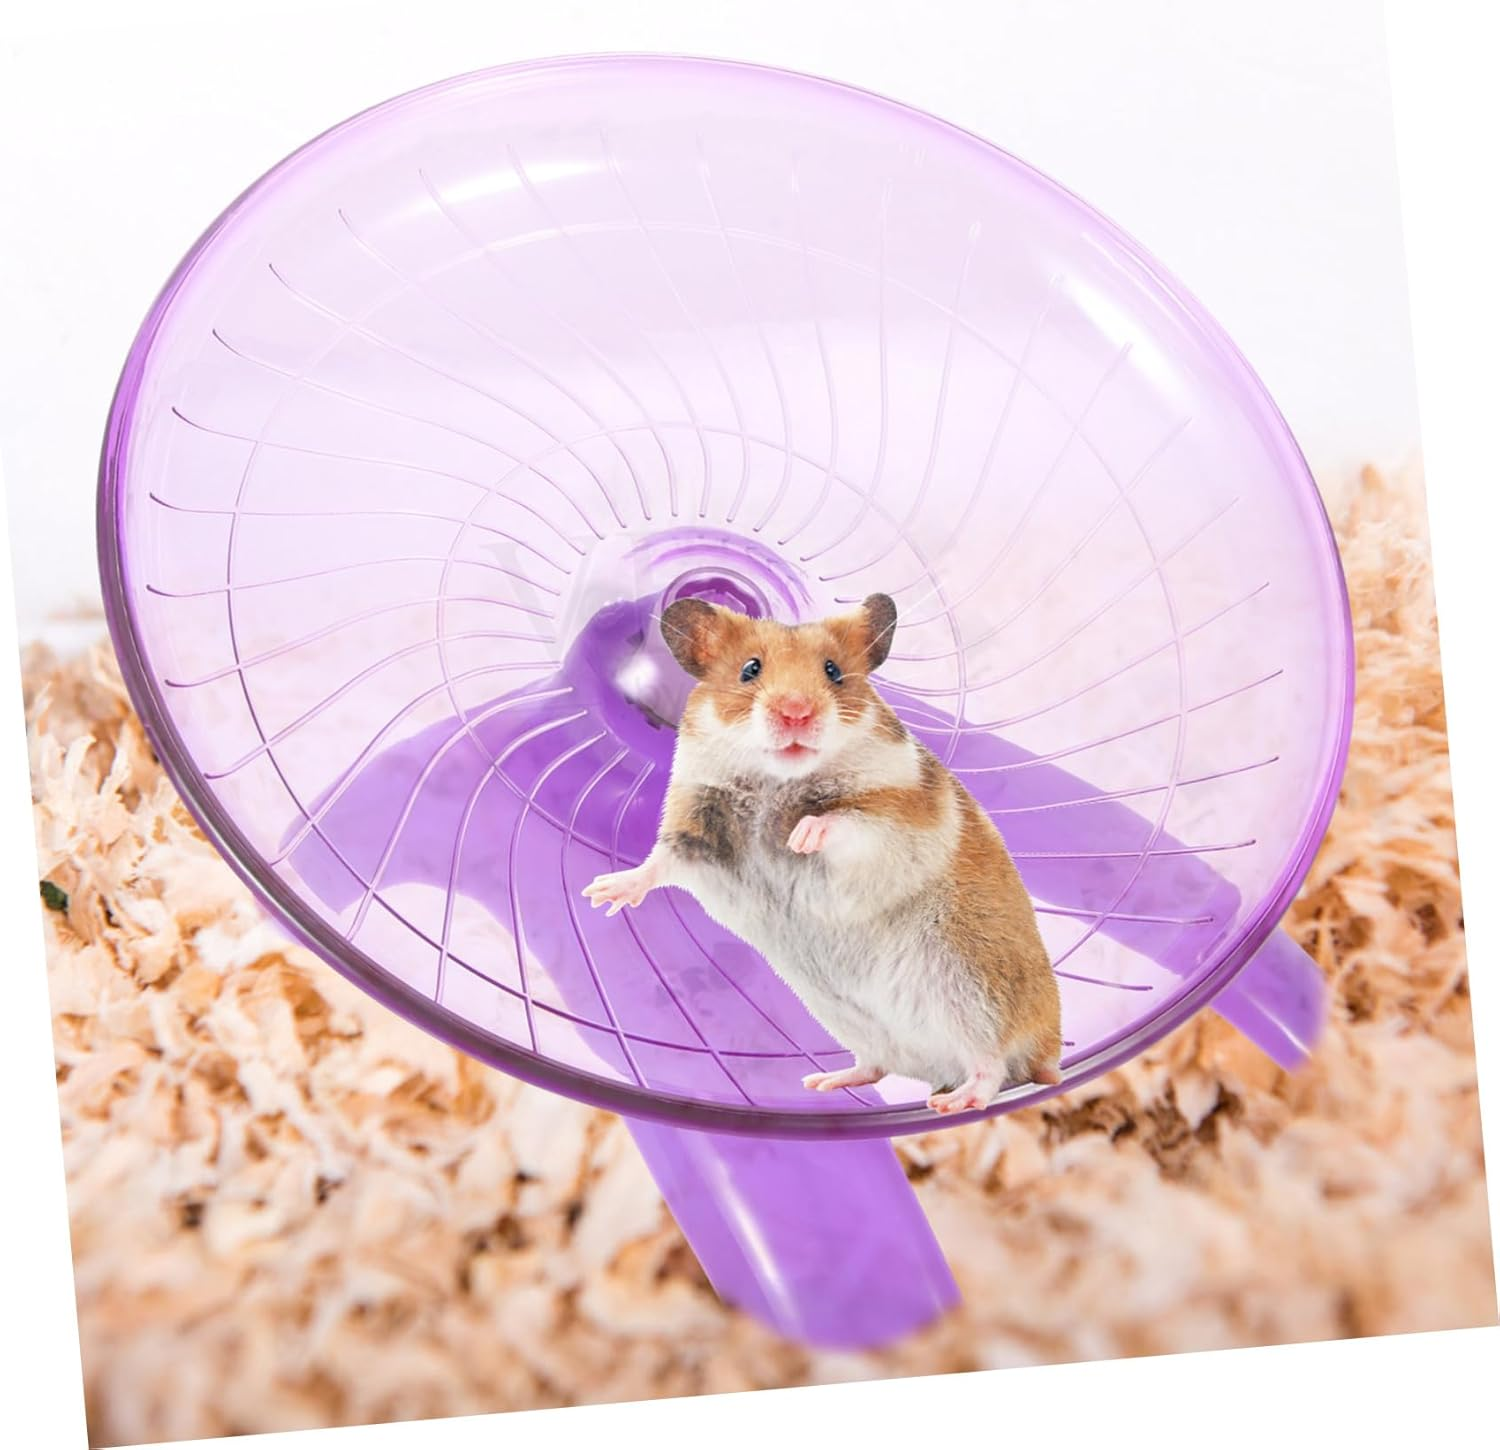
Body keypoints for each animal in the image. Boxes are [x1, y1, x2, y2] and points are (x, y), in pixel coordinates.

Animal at [582, 592, 1062, 1113]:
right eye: (750, 669)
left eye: (833, 671)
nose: (797, 712)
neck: (777, 780)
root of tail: (1052, 1049)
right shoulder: (698, 828)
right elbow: (660, 862)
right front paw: (600, 894)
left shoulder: (896, 818)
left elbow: (844, 822)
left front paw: (799, 837)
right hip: (850, 1017)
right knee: (878, 1066)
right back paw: (823, 1082)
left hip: (975, 993)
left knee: (994, 1066)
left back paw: (953, 1102)